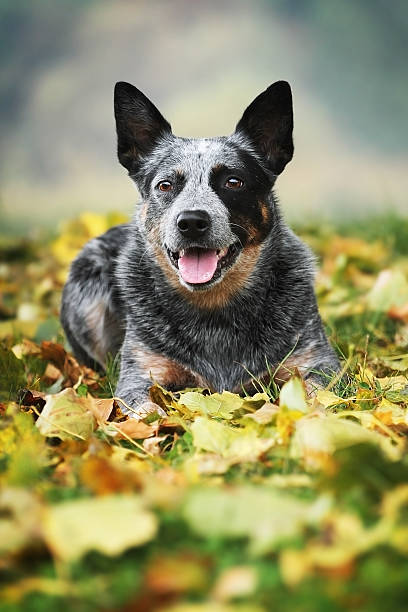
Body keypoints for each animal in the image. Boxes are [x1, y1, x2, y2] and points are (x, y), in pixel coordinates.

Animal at [60, 80, 340, 416]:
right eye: (165, 185)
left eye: (233, 181)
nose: (192, 221)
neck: (213, 310)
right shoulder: (139, 375)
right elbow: (146, 413)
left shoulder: (318, 362)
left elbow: (322, 397)